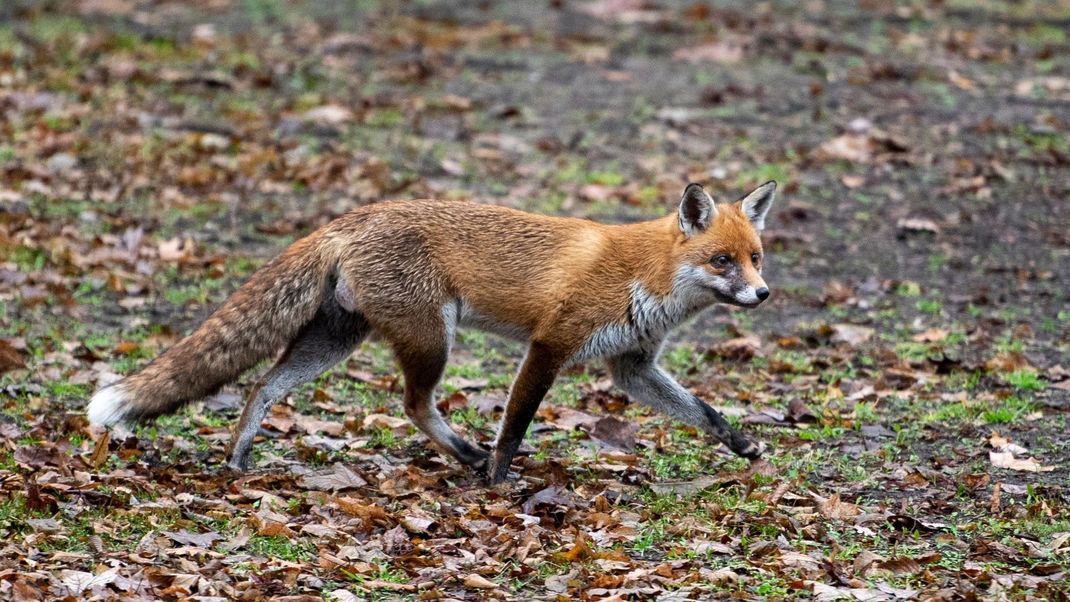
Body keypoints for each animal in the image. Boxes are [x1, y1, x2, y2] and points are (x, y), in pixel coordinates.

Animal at [89, 181, 778, 483]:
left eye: (756, 258)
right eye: (722, 261)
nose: (762, 294)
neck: (646, 275)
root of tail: (351, 217)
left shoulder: (631, 365)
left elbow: (703, 411)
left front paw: (742, 444)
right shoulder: (550, 344)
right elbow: (515, 424)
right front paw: (498, 479)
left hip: (338, 340)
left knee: (263, 386)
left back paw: (237, 457)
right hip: (431, 338)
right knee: (413, 404)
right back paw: (466, 455)